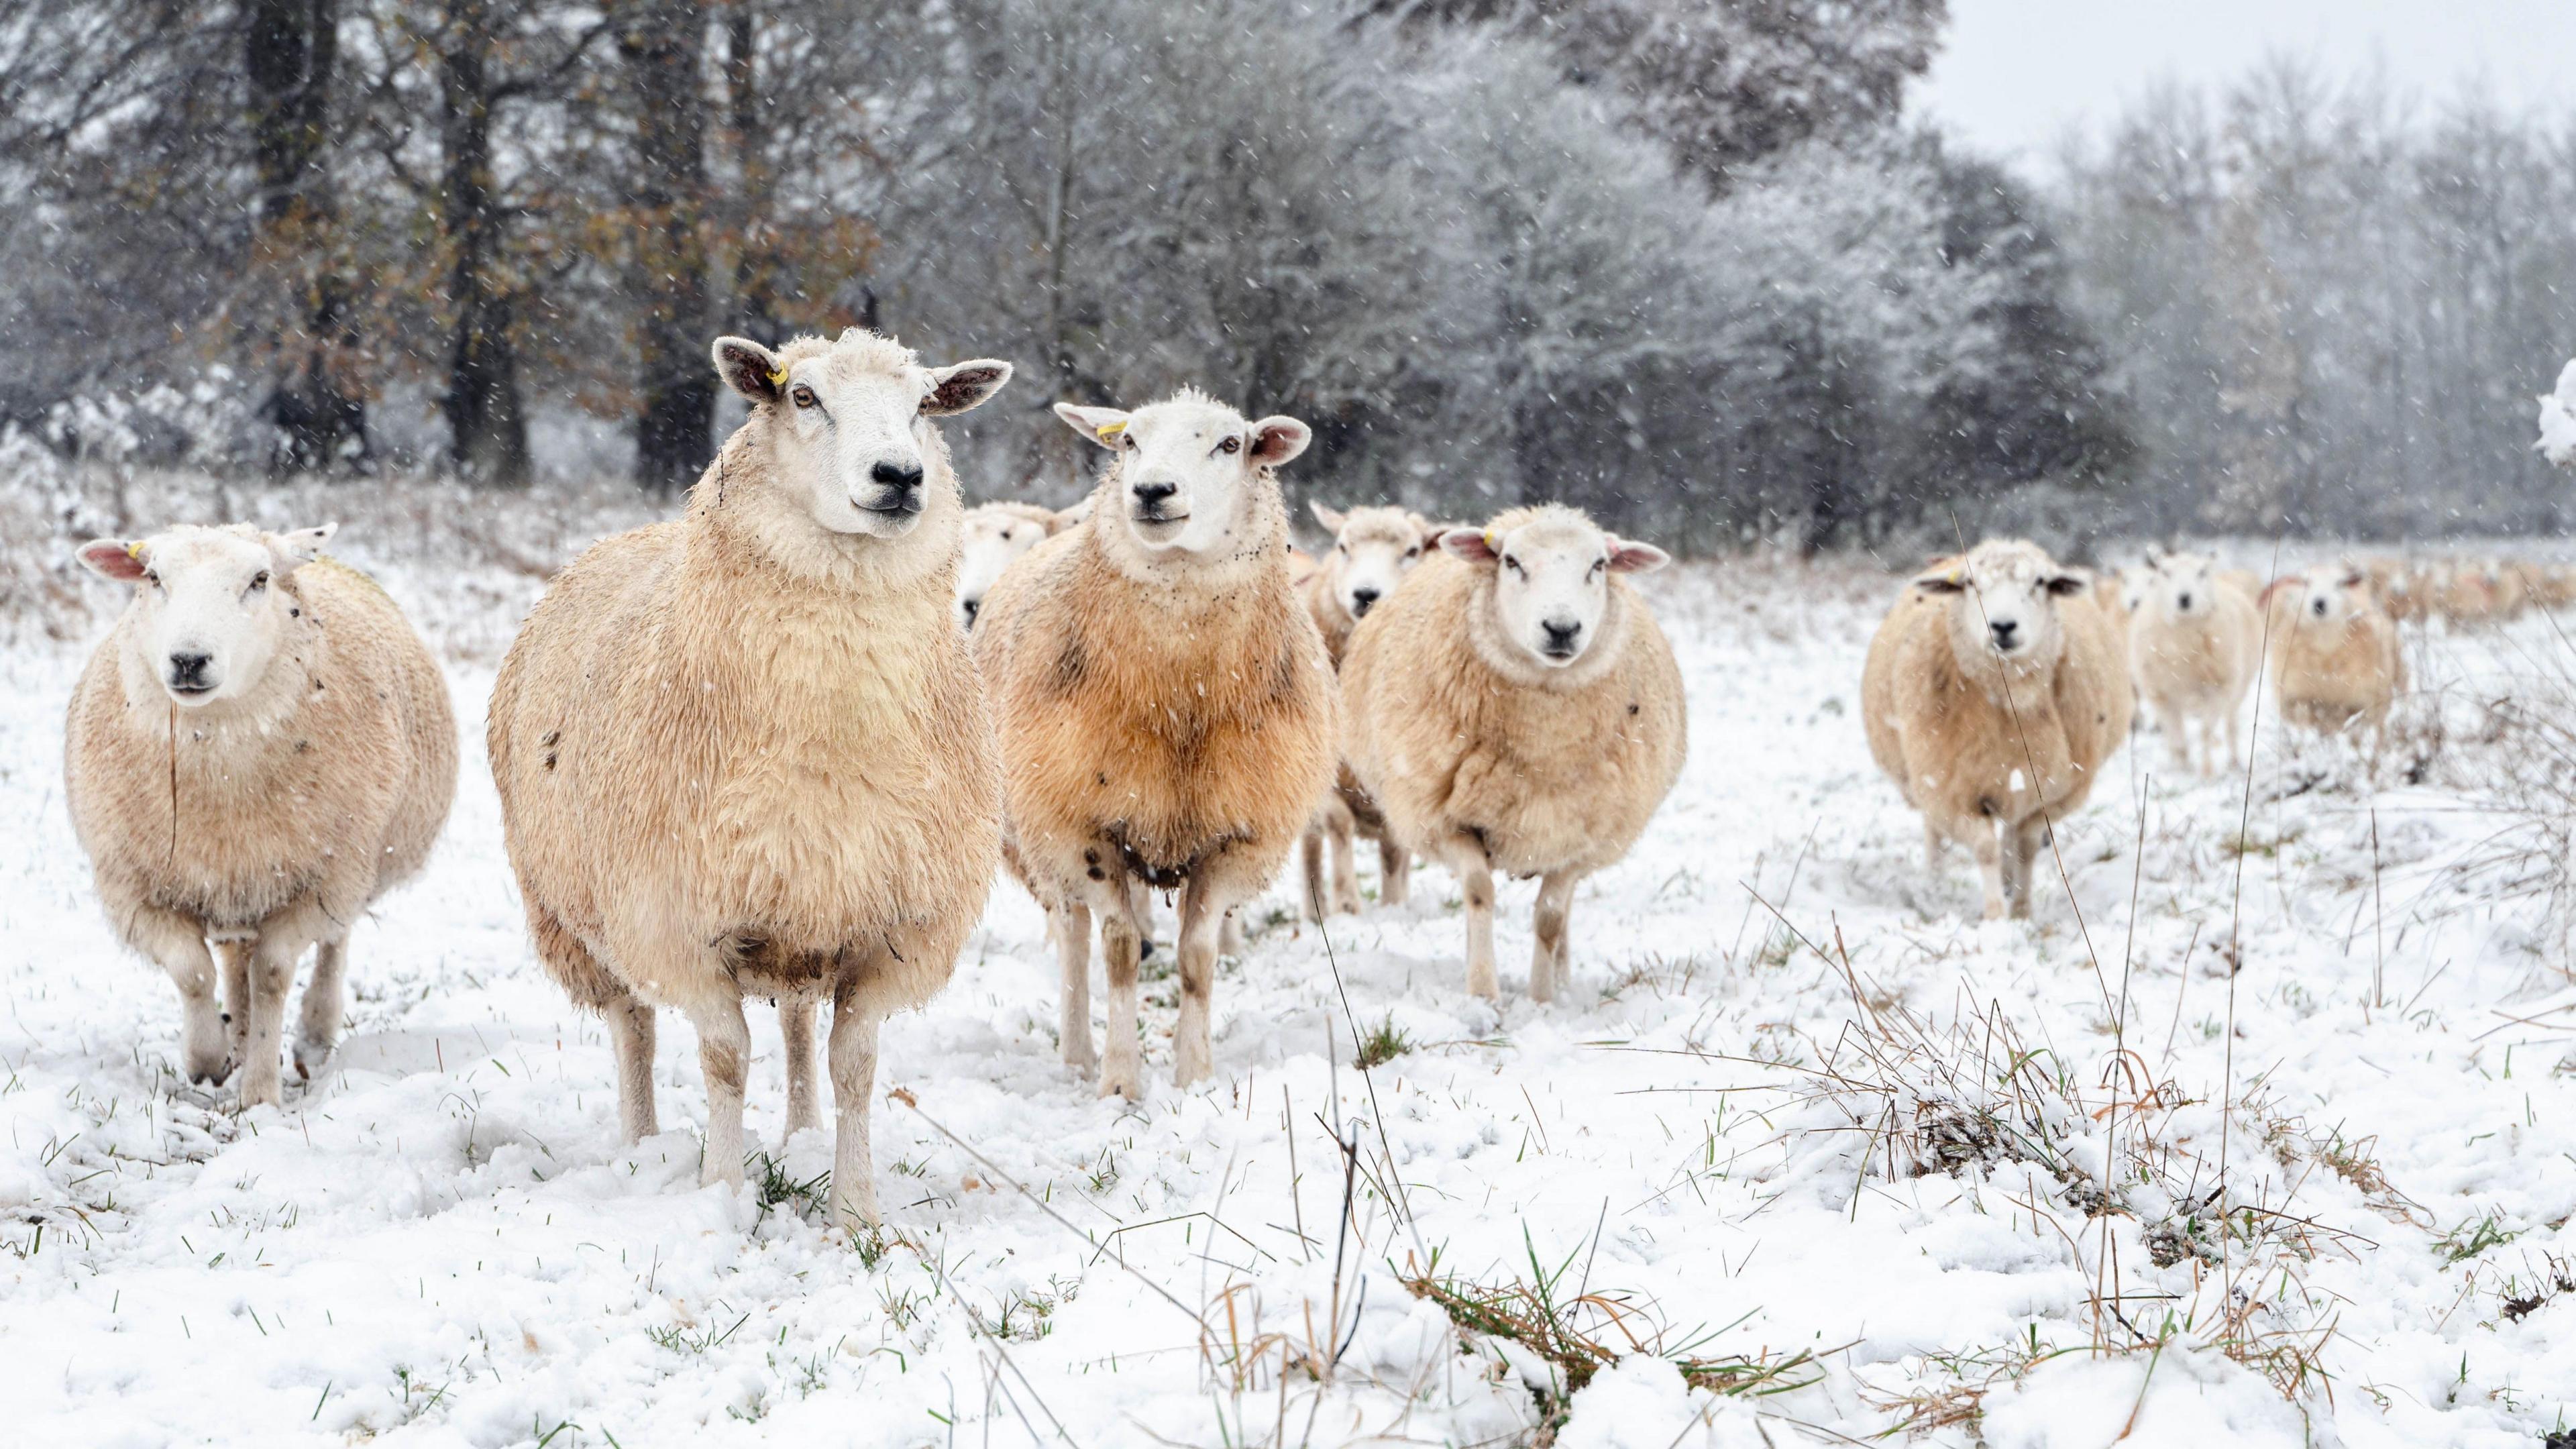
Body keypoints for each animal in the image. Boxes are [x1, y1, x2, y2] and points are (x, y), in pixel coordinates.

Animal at [64, 523, 458, 1098]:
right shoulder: (134, 890)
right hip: (237, 885)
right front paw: (208, 1056)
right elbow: (193, 972)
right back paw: (238, 1036)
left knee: (332, 946)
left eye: (260, 580)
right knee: (233, 960)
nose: (188, 660)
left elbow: (271, 975)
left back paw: (312, 1035)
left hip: (353, 867)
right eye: (153, 577)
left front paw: (260, 1092)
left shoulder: (320, 882)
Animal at [486, 327, 1010, 1217]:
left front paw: (856, 1209)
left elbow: (855, 1067)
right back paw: (641, 1147)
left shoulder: (890, 929)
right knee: (633, 1026)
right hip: (575, 915)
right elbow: (724, 1059)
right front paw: (722, 1195)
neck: (833, 742)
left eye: (923, 405)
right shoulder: (675, 923)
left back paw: (800, 1133)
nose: (901, 476)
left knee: (797, 1025)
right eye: (802, 396)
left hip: (801, 914)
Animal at [1298, 502, 1442, 918]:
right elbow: (1338, 824)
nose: (1366, 594)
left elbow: (1395, 850)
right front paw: (1347, 903)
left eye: (1412, 551)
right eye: (1343, 547)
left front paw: (1393, 904)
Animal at [1329, 502, 1690, 1000]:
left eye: (1598, 565)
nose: (1562, 629)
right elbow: (1479, 892)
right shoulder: (1446, 820)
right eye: (1511, 562)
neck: (1544, 744)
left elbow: (1551, 917)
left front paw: (1542, 999)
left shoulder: (1579, 836)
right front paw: (1484, 992)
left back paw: (1563, 978)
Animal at [1865, 536, 2123, 918]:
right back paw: (1934, 890)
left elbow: (2026, 847)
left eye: (2040, 582)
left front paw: (2022, 911)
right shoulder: (1953, 791)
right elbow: (1985, 848)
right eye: (1970, 584)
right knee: (1935, 834)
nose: (2002, 626)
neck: (2008, 694)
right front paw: (1996, 917)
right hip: (1928, 777)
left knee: (2011, 834)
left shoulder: (2050, 793)